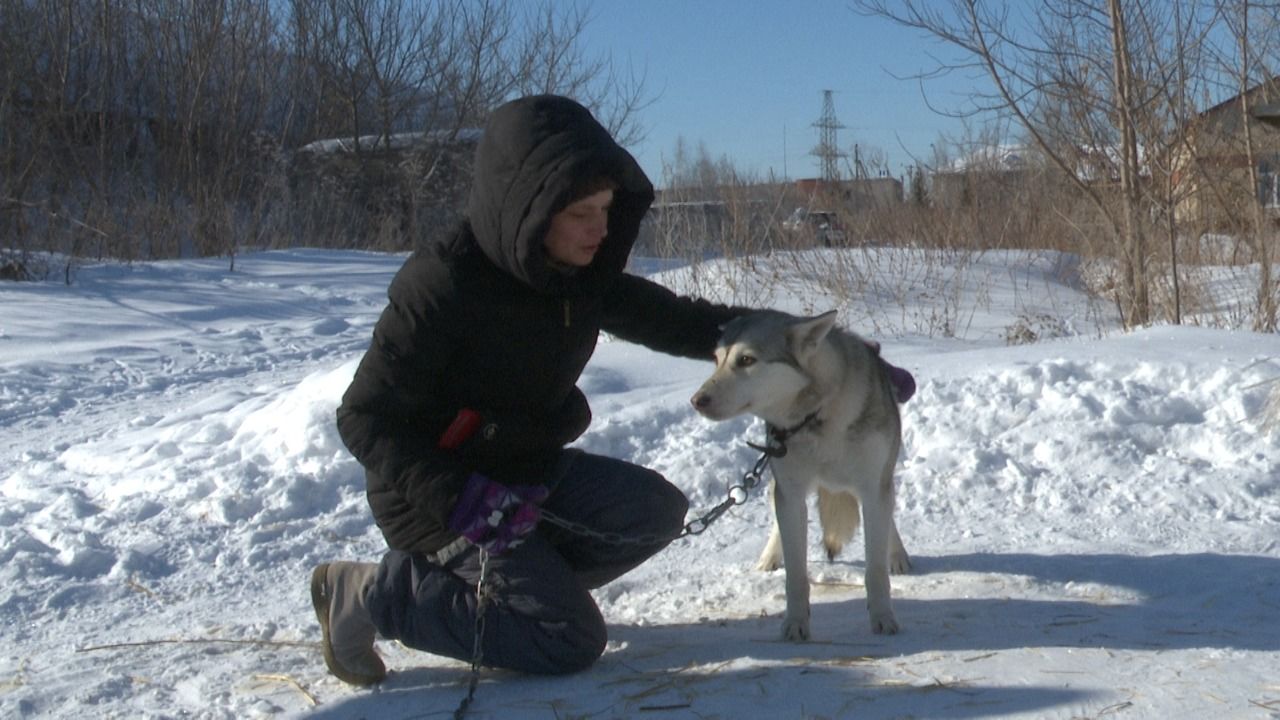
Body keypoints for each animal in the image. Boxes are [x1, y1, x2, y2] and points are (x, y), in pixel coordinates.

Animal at [691, 308, 911, 638]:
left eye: (746, 360)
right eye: (717, 360)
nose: (697, 400)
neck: (817, 415)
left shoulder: (874, 489)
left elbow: (875, 569)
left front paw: (883, 617)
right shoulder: (791, 493)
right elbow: (796, 575)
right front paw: (795, 624)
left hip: (882, 480)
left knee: (888, 521)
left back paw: (897, 555)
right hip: (777, 481)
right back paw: (769, 557)